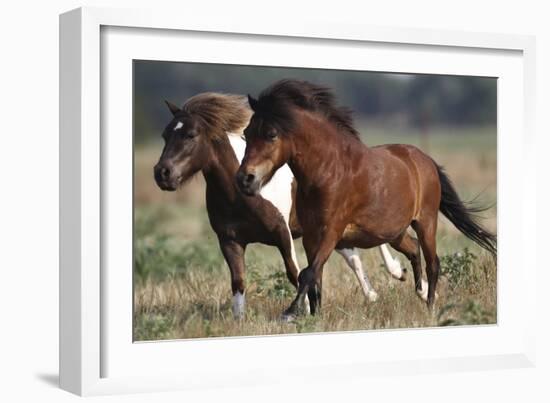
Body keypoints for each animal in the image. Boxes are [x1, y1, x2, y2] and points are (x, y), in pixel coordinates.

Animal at [153, 93, 408, 320]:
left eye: (191, 135)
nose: (162, 173)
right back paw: (373, 294)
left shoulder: (282, 233)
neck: (239, 196)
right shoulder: (229, 240)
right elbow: (238, 281)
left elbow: (294, 272)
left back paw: (397, 273)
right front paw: (239, 320)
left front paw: (301, 312)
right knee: (352, 256)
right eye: (165, 134)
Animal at [238, 80, 500, 318]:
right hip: (394, 232)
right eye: (246, 134)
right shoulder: (311, 236)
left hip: (426, 222)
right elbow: (315, 278)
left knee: (433, 262)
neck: (328, 171)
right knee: (414, 249)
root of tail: (426, 160)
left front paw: (290, 313)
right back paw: (420, 291)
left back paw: (430, 306)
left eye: (271, 134)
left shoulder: (331, 232)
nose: (245, 179)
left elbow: (308, 273)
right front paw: (313, 317)